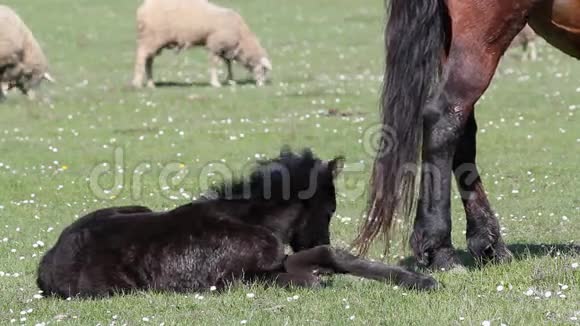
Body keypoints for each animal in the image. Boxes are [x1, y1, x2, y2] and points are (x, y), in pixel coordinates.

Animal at [36, 148, 438, 298]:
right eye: (330, 209)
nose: (309, 239)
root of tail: (46, 259)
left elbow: (330, 256)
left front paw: (417, 279)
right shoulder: (234, 279)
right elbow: (307, 274)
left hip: (137, 206)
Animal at [134, 0, 272, 88]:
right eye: (264, 69)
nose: (261, 85)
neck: (241, 36)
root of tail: (142, 8)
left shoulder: (226, 47)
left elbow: (228, 63)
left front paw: (230, 80)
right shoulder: (216, 44)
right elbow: (215, 64)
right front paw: (216, 83)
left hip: (154, 41)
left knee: (149, 61)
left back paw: (151, 84)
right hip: (152, 38)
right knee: (141, 57)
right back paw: (137, 83)